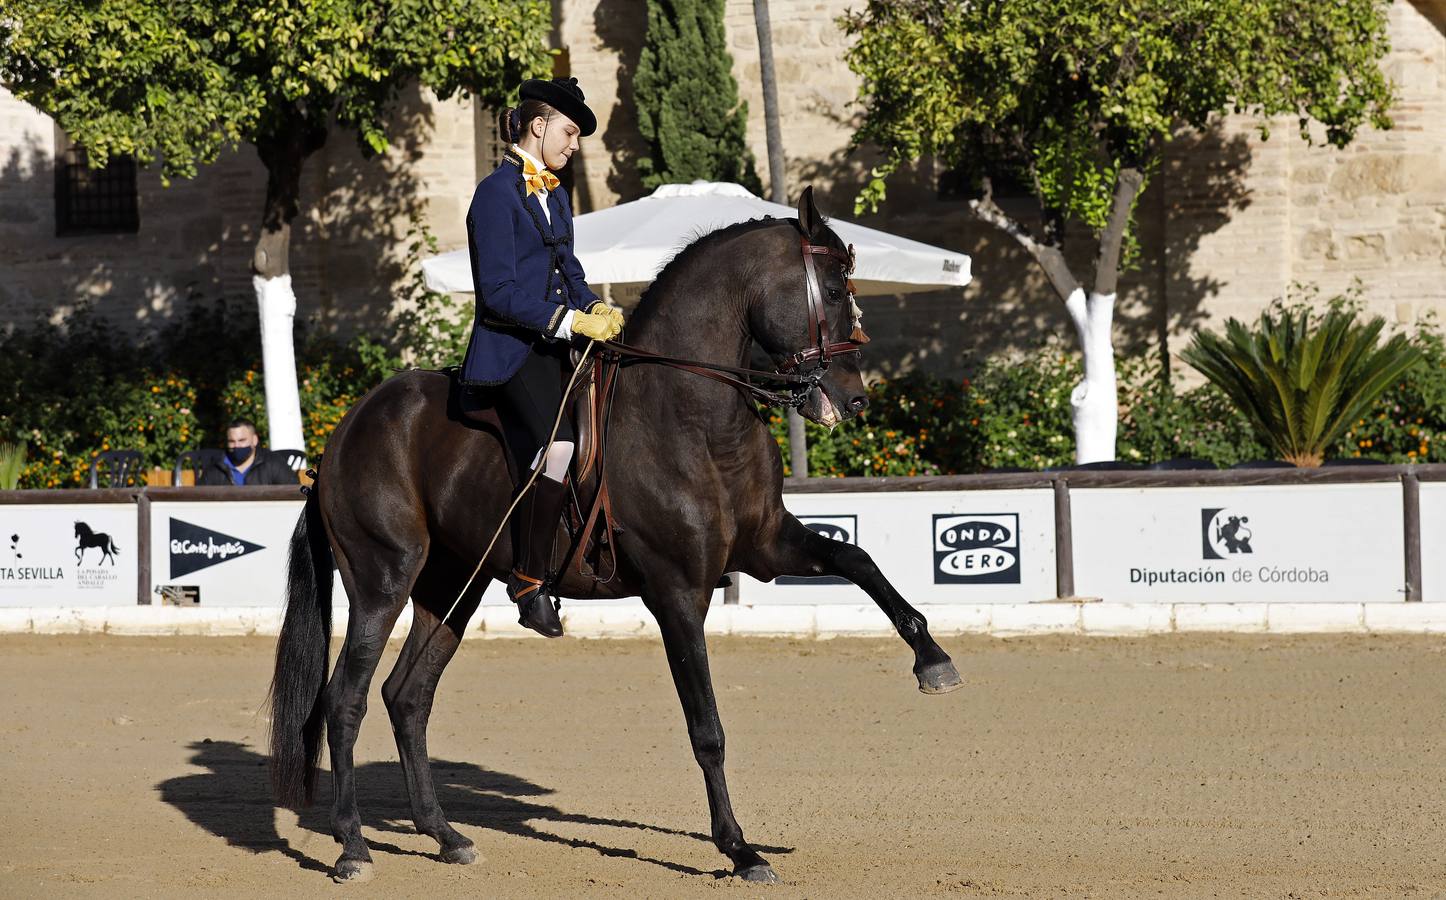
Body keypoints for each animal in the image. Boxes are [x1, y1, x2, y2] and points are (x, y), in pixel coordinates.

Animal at [270, 186, 960, 885]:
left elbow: (858, 558)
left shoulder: (768, 546)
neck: (696, 415)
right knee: (345, 700)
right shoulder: (677, 593)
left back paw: (446, 835)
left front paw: (932, 660)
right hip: (383, 581)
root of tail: (348, 427)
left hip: (451, 588)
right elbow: (707, 728)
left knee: (407, 698)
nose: (854, 402)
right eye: (834, 287)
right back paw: (353, 847)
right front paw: (739, 849)